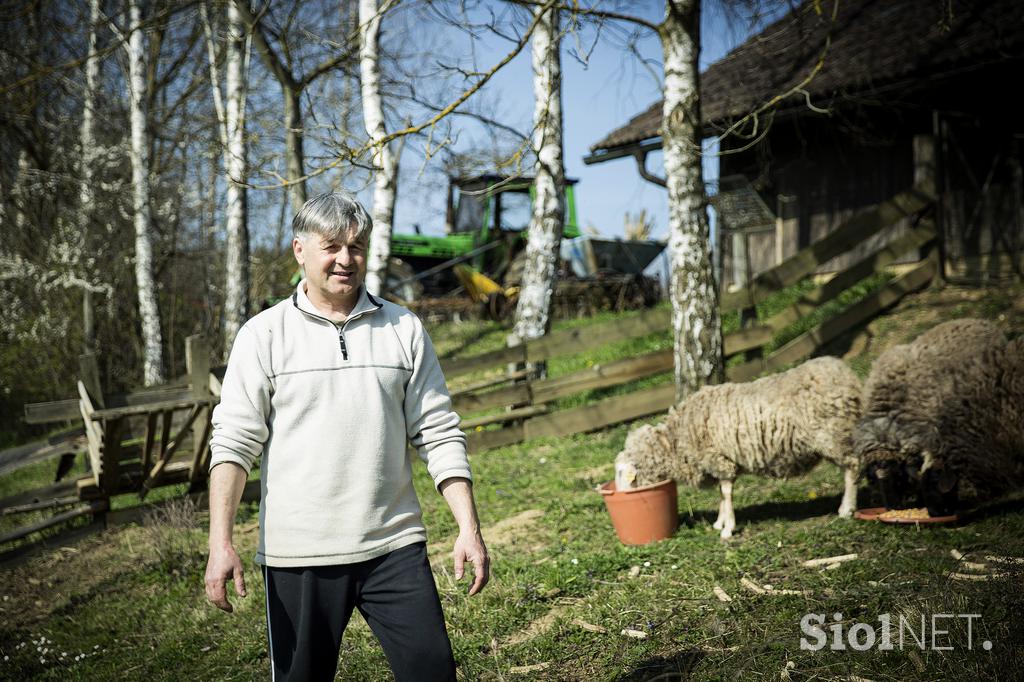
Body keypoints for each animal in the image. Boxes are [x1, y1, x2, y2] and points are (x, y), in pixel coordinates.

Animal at [614, 356, 864, 536]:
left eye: (620, 473)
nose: (617, 494)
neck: (676, 440)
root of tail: (846, 374)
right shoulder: (720, 462)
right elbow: (722, 494)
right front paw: (720, 522)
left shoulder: (720, 460)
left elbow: (726, 493)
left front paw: (727, 529)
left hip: (832, 435)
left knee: (852, 467)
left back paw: (846, 509)